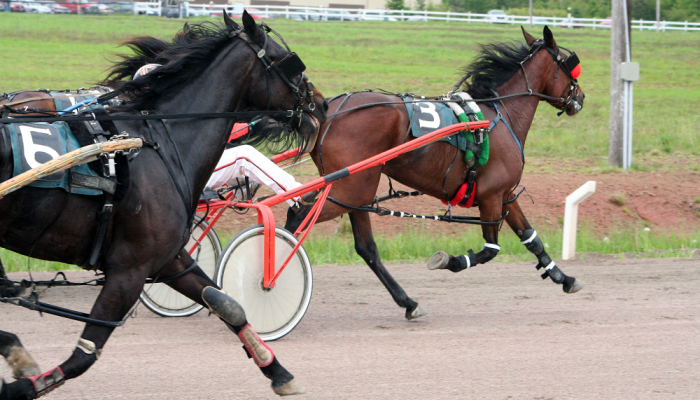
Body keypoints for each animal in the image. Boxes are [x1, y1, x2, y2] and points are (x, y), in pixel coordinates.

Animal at [0, 12, 326, 400]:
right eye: (286, 61)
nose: (320, 104)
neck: (158, 141)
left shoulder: (167, 259)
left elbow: (227, 304)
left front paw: (277, 371)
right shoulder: (130, 267)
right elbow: (84, 355)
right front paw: (22, 385)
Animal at [286, 26, 584, 322]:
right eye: (570, 66)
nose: (580, 97)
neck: (499, 115)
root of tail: (329, 112)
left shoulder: (506, 195)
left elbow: (531, 238)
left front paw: (564, 278)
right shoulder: (492, 196)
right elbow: (490, 250)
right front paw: (450, 261)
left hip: (354, 192)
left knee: (364, 247)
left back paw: (408, 302)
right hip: (351, 189)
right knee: (299, 218)